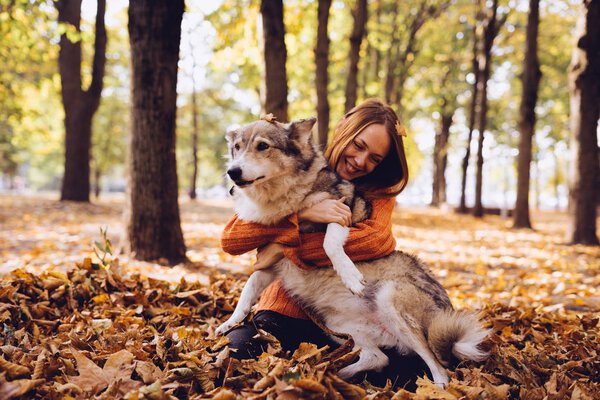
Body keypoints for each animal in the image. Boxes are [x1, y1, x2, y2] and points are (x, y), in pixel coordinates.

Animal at [216, 115, 488, 384]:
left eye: (262, 146)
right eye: (237, 147)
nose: (232, 172)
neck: (283, 200)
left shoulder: (340, 211)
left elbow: (329, 243)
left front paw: (350, 276)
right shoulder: (270, 263)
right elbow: (247, 291)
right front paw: (229, 323)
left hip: (389, 299)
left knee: (438, 367)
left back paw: (437, 385)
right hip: (337, 322)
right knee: (378, 358)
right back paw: (331, 373)